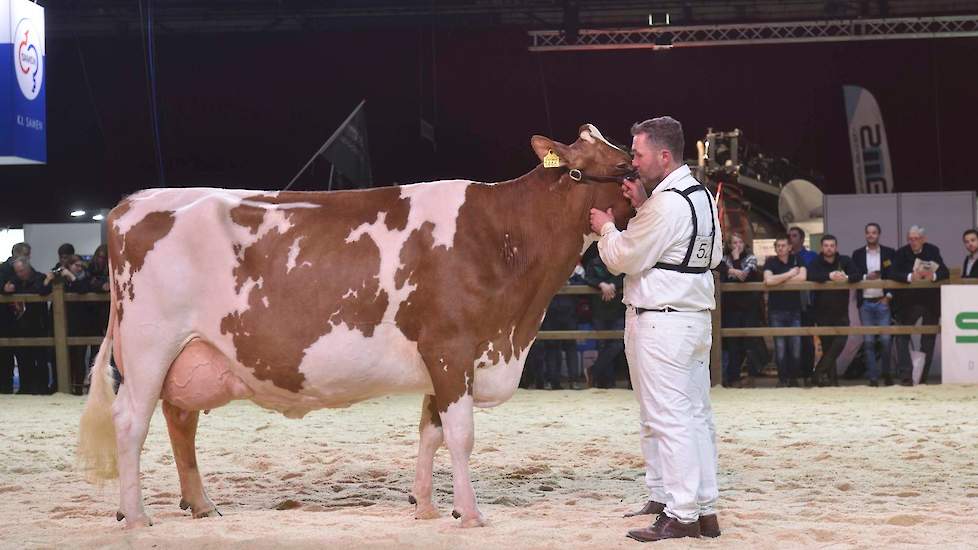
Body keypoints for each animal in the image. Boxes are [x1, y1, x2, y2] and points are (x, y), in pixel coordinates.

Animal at [82, 125, 632, 532]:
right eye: (621, 167)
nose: (640, 178)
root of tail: (132, 203)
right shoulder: (451, 348)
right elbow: (459, 435)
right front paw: (472, 514)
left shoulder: (441, 360)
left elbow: (429, 432)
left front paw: (427, 506)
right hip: (149, 347)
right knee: (132, 422)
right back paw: (137, 517)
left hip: (189, 354)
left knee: (180, 421)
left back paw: (200, 506)